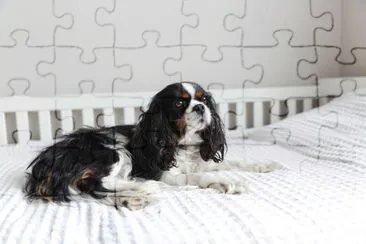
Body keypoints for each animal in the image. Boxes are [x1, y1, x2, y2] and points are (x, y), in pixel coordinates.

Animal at [23, 81, 280, 210]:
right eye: (179, 103)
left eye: (204, 99)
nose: (200, 107)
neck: (184, 143)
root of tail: (44, 164)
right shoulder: (161, 172)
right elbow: (195, 176)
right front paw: (225, 181)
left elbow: (230, 163)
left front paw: (262, 166)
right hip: (113, 150)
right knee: (97, 182)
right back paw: (142, 187)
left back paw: (130, 199)